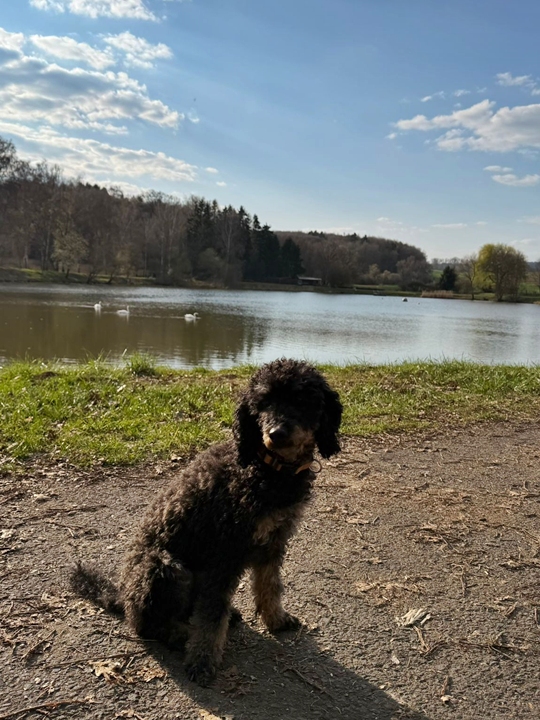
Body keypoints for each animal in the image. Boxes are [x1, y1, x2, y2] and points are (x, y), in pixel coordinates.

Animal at [70, 358, 342, 686]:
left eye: (302, 399)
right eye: (263, 402)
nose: (276, 432)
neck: (267, 468)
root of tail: (123, 596)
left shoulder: (274, 541)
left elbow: (270, 586)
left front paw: (276, 619)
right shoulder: (225, 554)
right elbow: (211, 619)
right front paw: (202, 661)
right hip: (167, 568)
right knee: (148, 625)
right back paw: (180, 634)